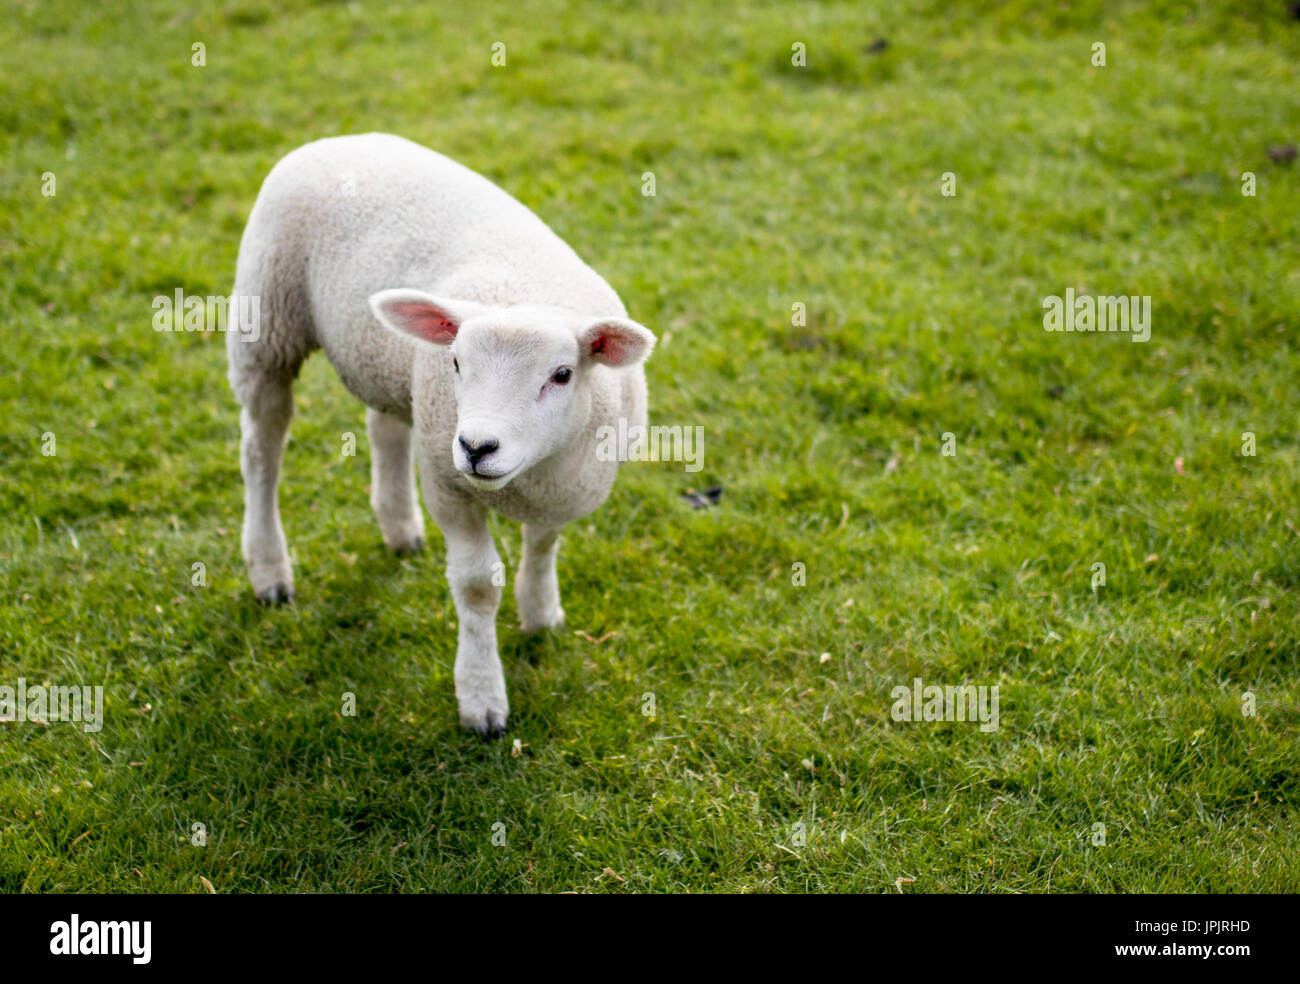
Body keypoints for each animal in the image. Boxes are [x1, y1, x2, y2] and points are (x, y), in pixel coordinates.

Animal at [227, 133, 654, 735]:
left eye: (562, 374)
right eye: (455, 361)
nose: (476, 446)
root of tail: (341, 138)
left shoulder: (561, 488)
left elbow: (543, 545)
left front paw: (540, 613)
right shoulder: (449, 484)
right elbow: (476, 586)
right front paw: (481, 699)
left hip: (392, 370)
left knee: (384, 427)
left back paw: (400, 528)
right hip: (266, 323)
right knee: (261, 453)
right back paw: (270, 570)